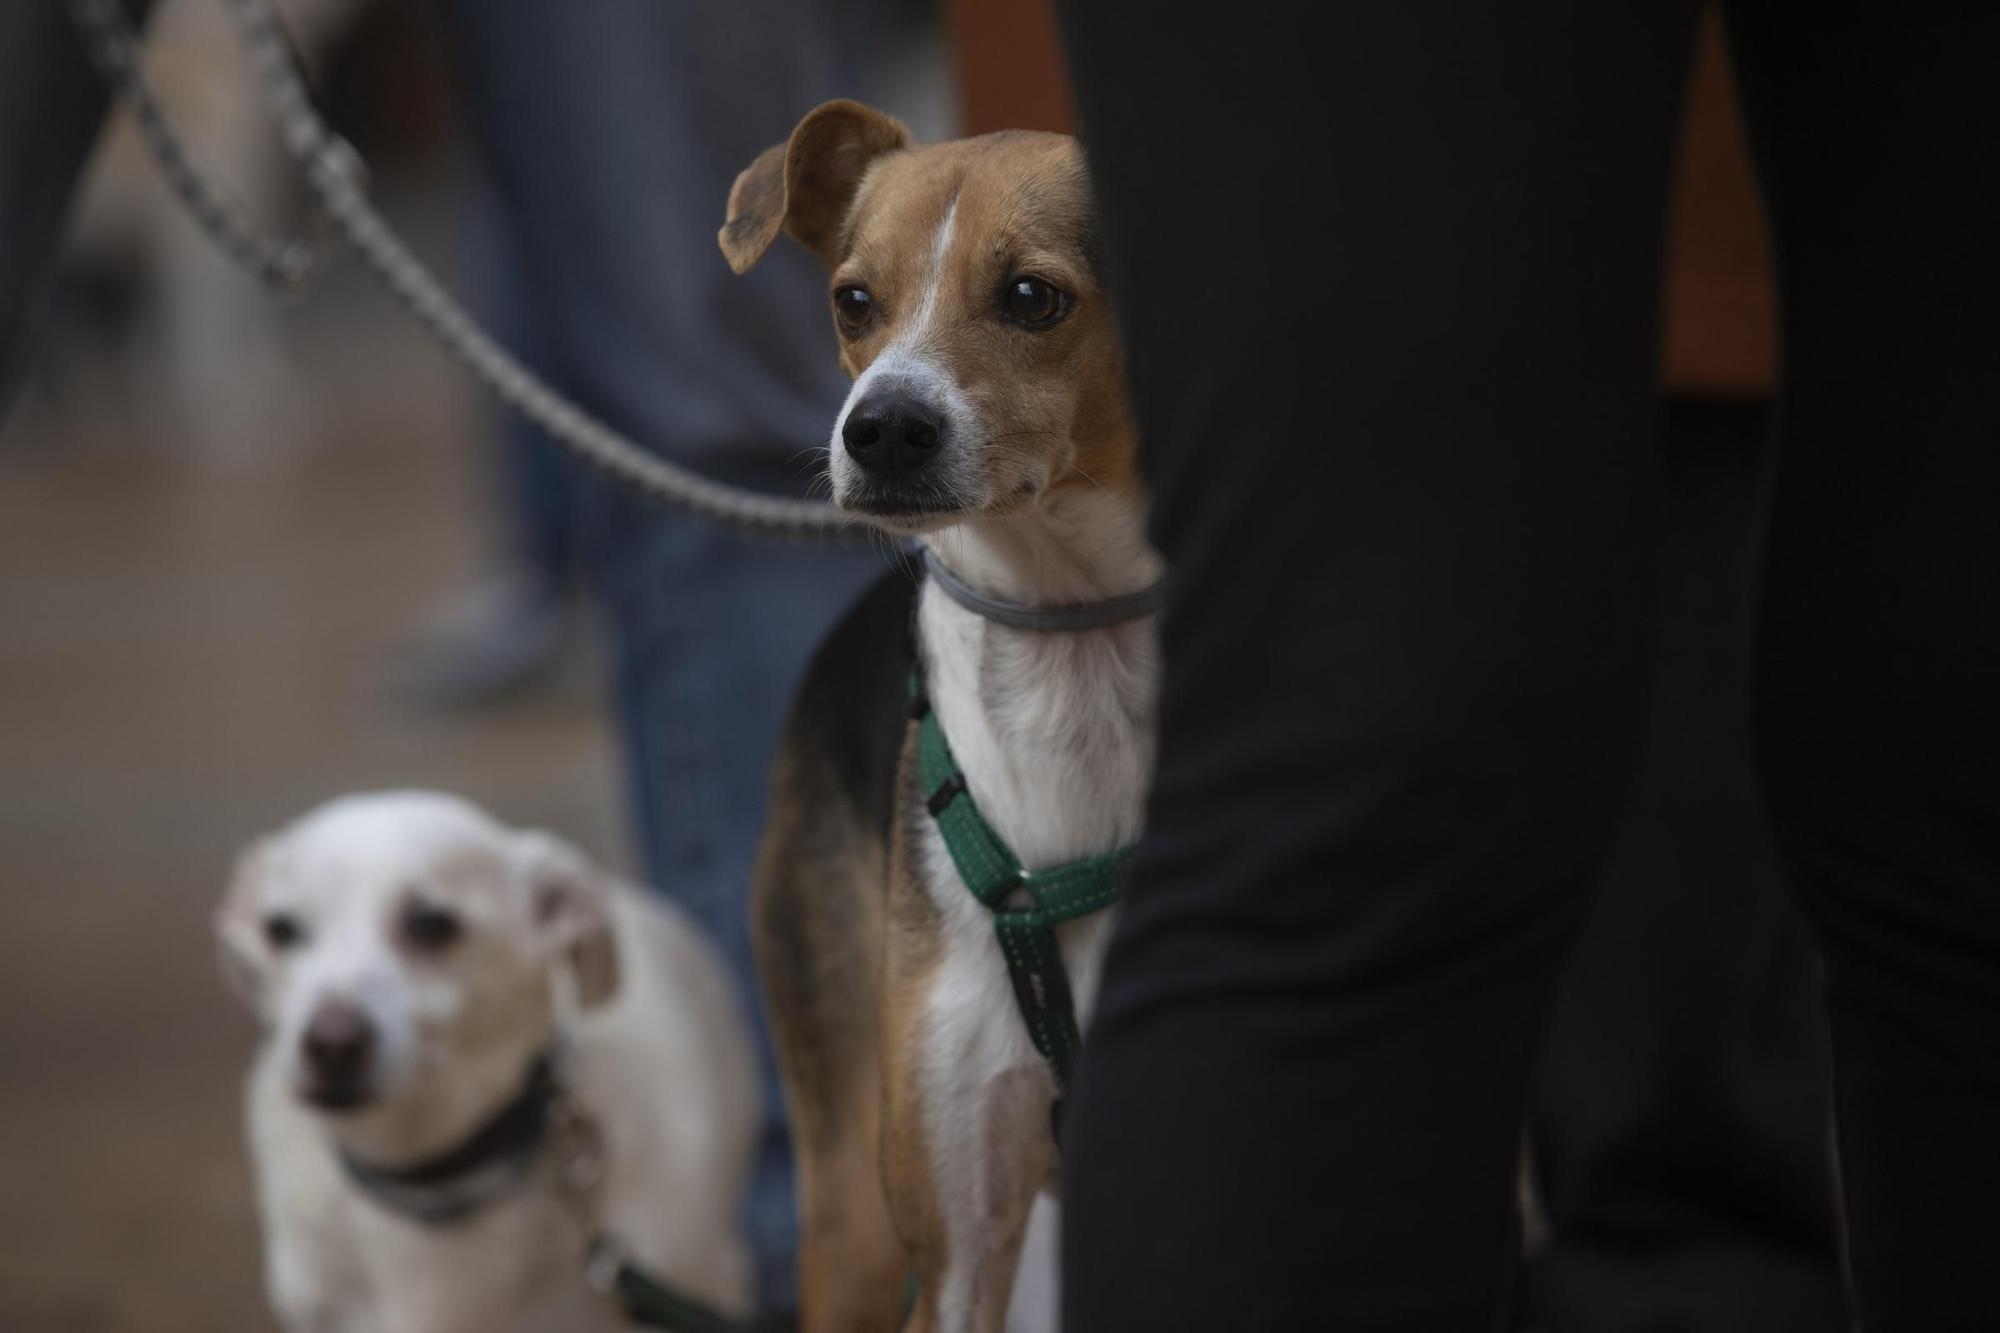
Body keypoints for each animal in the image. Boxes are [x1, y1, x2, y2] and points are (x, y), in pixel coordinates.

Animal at [724, 98, 1168, 1320]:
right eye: (851, 300)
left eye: (1030, 296)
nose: (877, 430)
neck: (1074, 633)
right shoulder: (956, 1246)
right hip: (854, 1219)